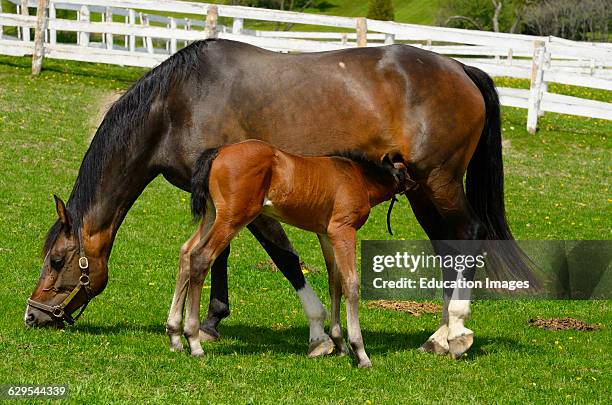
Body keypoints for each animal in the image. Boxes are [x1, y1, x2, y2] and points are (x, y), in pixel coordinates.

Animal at [166, 140, 406, 366]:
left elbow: (335, 283)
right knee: (201, 257)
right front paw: (360, 352)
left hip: (212, 214)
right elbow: (351, 283)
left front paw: (339, 344)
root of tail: (218, 152)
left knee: (186, 252)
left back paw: (175, 335)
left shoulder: (326, 235)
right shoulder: (343, 231)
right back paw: (193, 341)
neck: (357, 176)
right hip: (232, 218)